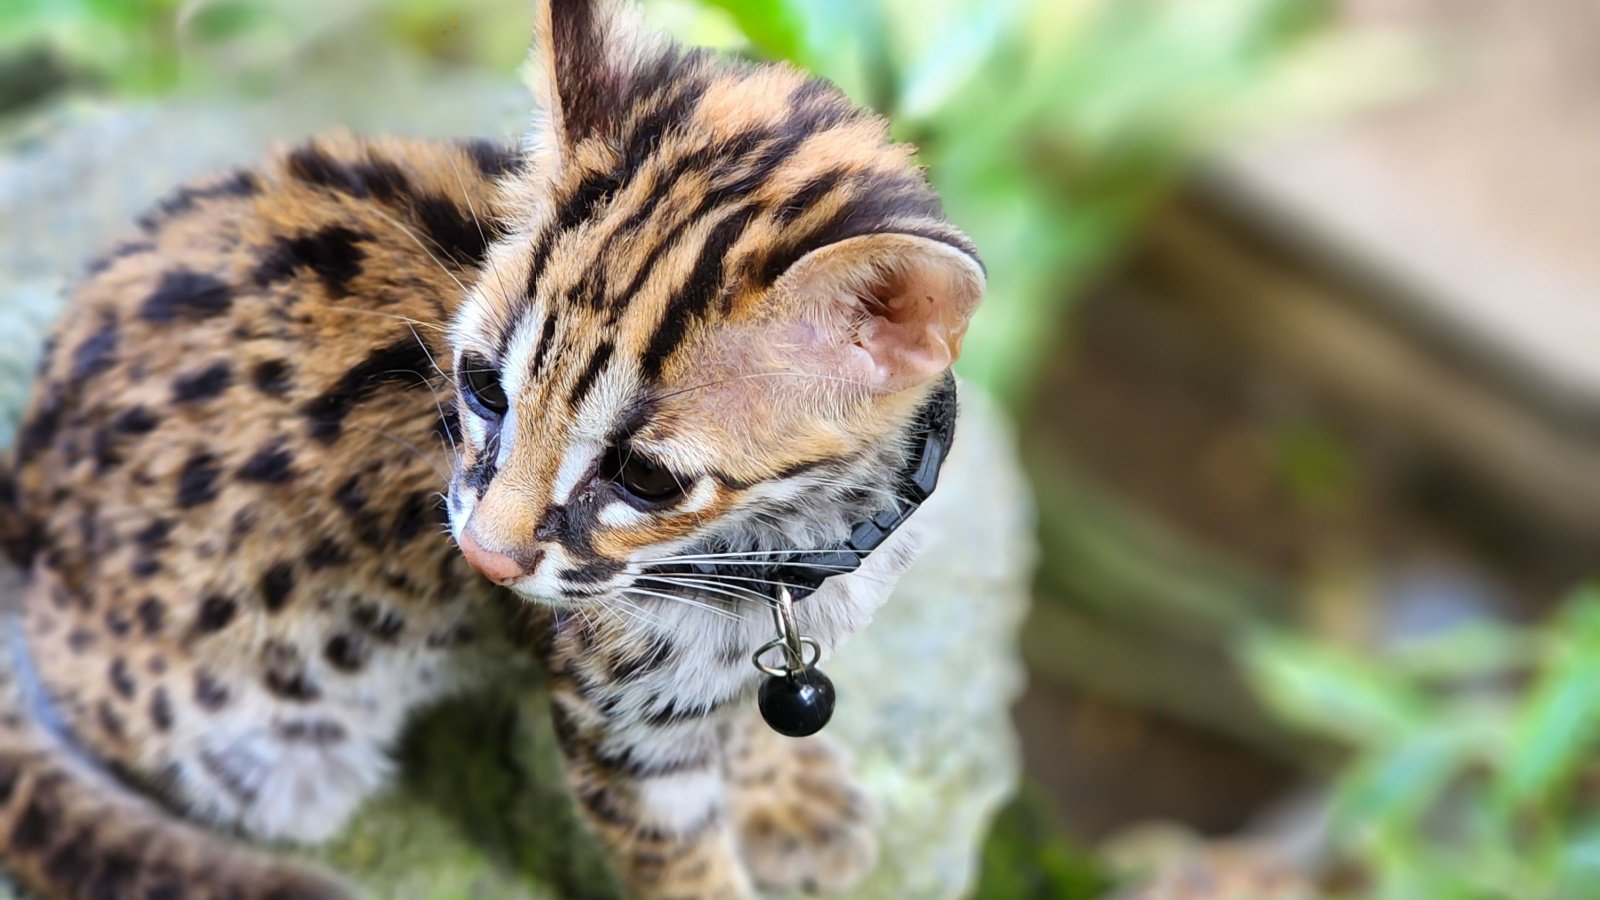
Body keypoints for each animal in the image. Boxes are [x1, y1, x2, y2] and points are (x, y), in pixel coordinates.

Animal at [0, 3, 985, 890]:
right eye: (481, 387)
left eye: (643, 476)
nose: (483, 558)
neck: (785, 541)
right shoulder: (619, 727)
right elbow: (683, 862)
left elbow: (743, 703)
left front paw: (775, 788)